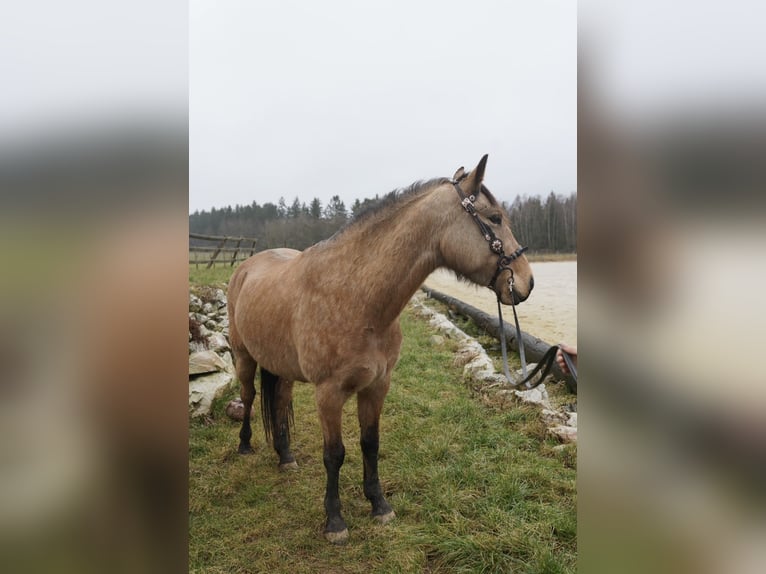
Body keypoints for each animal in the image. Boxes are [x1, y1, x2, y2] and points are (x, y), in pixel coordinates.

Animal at [228, 156, 536, 544]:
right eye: (494, 218)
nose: (526, 282)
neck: (357, 298)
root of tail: (247, 266)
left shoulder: (377, 386)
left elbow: (370, 443)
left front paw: (379, 505)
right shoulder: (328, 394)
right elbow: (334, 454)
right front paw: (335, 522)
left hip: (281, 368)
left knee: (280, 402)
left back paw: (285, 456)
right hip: (243, 357)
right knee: (249, 397)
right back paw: (244, 445)